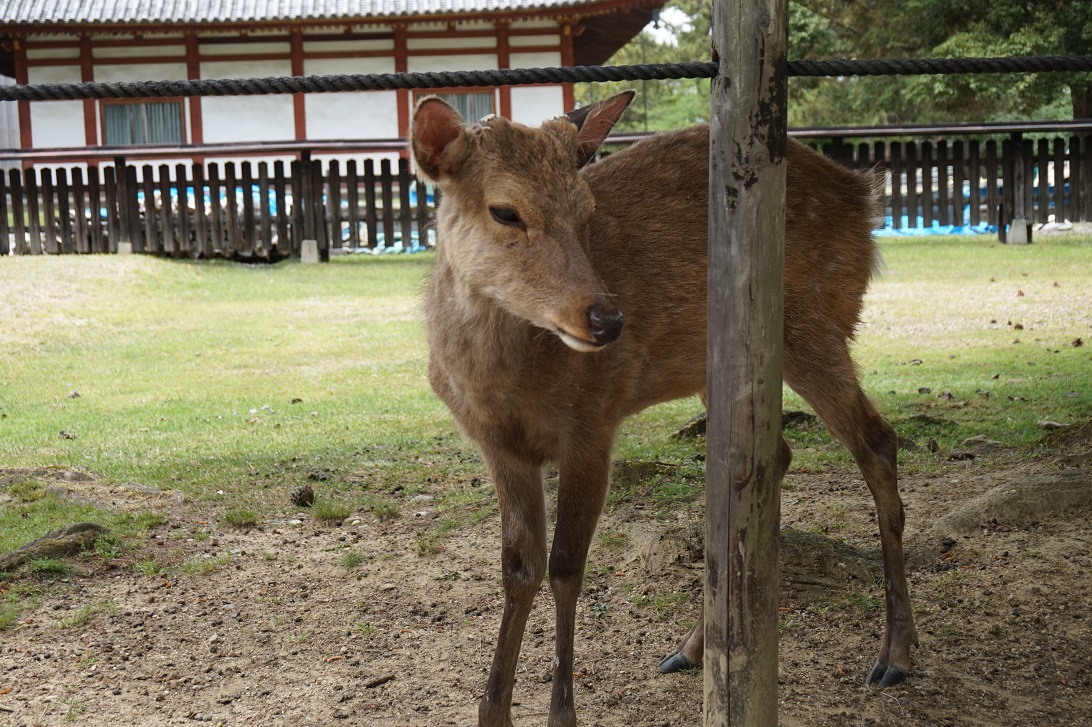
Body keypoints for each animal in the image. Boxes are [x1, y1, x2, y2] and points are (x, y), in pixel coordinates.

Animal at [408, 92, 912, 724]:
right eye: (504, 211)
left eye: (587, 210)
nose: (606, 320)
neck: (503, 391)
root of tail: (866, 194)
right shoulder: (498, 447)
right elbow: (519, 569)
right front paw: (492, 711)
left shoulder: (593, 424)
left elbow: (566, 566)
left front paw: (563, 713)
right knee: (778, 452)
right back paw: (690, 649)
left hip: (813, 326)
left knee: (877, 440)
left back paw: (895, 654)